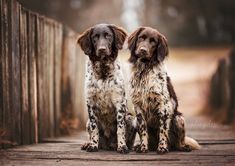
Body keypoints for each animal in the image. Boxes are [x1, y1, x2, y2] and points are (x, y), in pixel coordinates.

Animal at [77, 23, 136, 153]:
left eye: (108, 35)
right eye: (95, 37)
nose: (102, 49)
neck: (103, 71)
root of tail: (107, 145)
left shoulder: (119, 102)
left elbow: (120, 129)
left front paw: (122, 146)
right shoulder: (90, 103)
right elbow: (94, 129)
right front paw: (93, 145)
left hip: (130, 118)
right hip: (87, 122)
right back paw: (88, 144)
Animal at [127, 26, 199, 154]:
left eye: (153, 41)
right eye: (141, 38)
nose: (143, 50)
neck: (144, 70)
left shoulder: (164, 106)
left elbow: (163, 131)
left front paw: (162, 148)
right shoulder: (138, 107)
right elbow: (143, 130)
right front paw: (143, 147)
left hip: (179, 118)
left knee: (178, 143)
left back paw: (182, 147)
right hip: (135, 120)